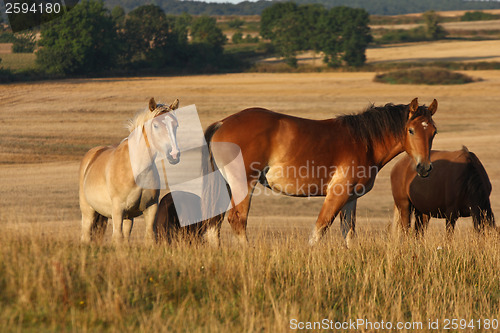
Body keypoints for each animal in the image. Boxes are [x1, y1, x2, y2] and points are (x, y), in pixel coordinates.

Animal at [81, 97, 183, 243]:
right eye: (156, 125)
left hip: (127, 218)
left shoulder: (151, 208)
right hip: (88, 212)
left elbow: (149, 237)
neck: (135, 170)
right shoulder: (118, 210)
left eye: (176, 125)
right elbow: (117, 237)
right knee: (86, 235)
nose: (174, 154)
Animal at [202, 97, 438, 245]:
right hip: (243, 184)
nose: (424, 167)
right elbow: (319, 230)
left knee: (214, 226)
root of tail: (222, 123)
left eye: (434, 132)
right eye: (411, 130)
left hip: (226, 186)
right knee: (237, 219)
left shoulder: (351, 198)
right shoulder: (337, 195)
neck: (365, 142)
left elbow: (348, 234)